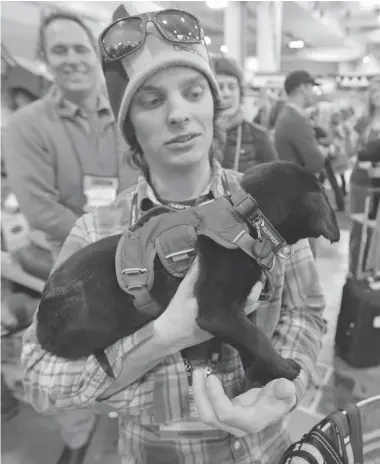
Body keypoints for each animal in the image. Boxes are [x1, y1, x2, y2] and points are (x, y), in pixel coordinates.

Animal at [35, 161, 340, 386]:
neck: (248, 220)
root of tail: (40, 316)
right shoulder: (217, 313)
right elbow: (257, 337)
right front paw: (283, 367)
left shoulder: (238, 314)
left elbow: (247, 339)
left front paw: (259, 374)